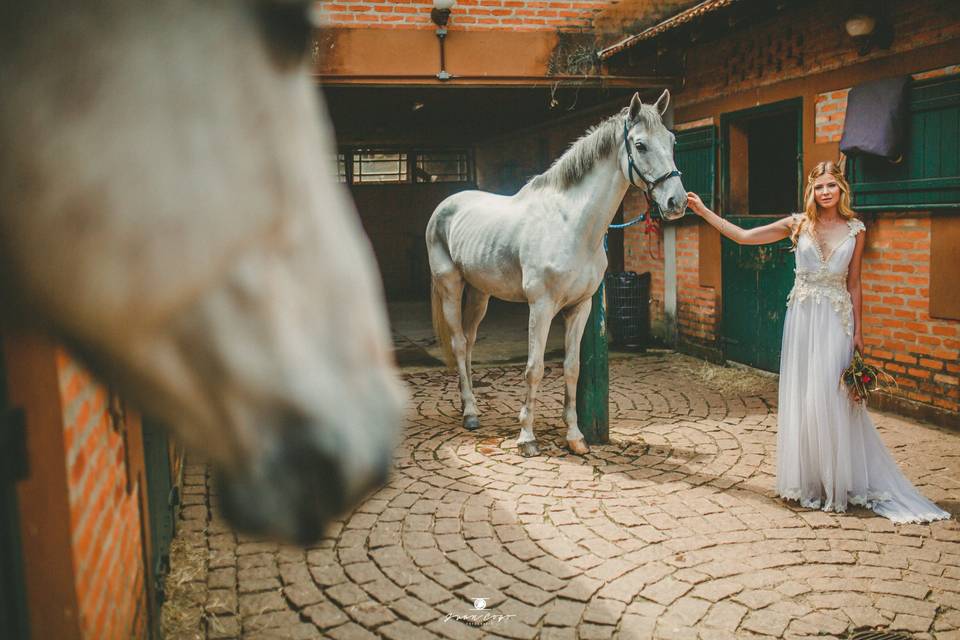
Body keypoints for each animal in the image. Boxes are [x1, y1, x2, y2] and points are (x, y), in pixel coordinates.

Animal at [430, 92, 688, 458]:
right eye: (640, 145)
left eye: (672, 140)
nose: (677, 202)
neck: (571, 223)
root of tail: (446, 205)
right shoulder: (541, 307)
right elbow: (534, 369)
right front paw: (526, 438)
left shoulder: (580, 307)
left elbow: (572, 368)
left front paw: (575, 437)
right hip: (450, 288)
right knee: (457, 341)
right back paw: (469, 414)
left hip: (480, 294)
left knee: (468, 343)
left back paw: (472, 407)